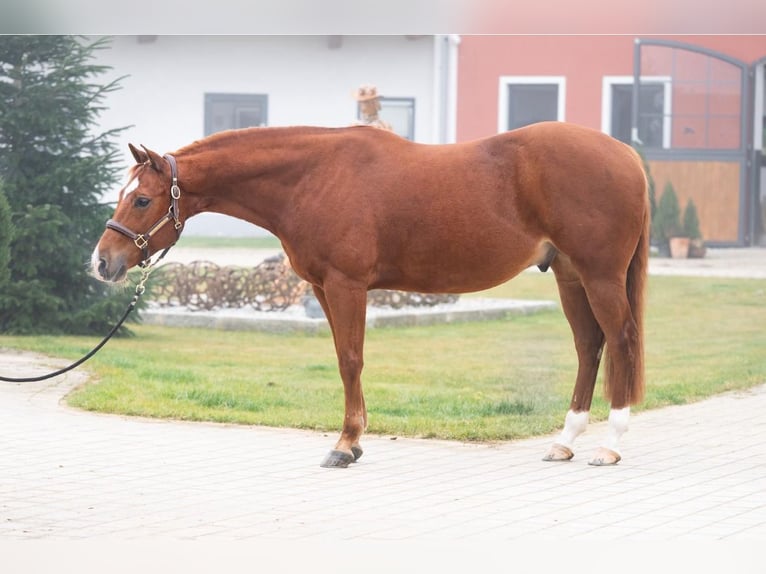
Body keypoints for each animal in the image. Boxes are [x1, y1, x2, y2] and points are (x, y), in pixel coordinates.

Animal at [91, 121, 649, 468]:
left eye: (142, 200)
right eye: (123, 194)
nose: (101, 262)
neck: (313, 177)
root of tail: (626, 154)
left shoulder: (346, 284)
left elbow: (351, 360)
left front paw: (345, 444)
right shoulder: (323, 288)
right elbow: (345, 356)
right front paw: (353, 442)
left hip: (600, 276)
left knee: (621, 340)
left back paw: (611, 446)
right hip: (570, 276)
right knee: (589, 347)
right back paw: (564, 442)